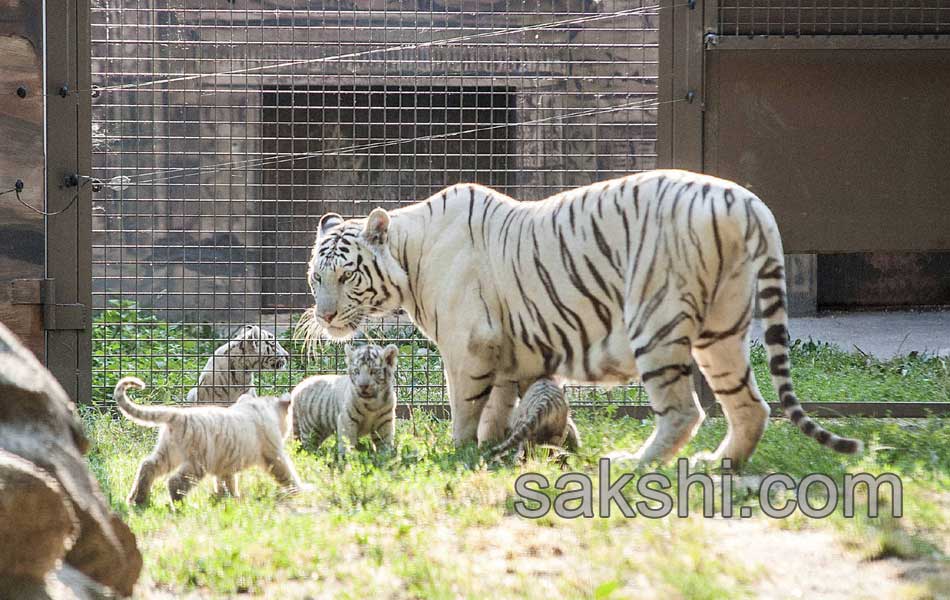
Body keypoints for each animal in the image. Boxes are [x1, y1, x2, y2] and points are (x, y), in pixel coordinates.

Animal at [304, 170, 864, 468]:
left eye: (347, 276)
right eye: (315, 276)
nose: (324, 315)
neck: (409, 253)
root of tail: (744, 199)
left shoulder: (469, 346)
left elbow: (465, 406)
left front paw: (458, 451)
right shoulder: (506, 352)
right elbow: (499, 410)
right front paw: (491, 449)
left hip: (656, 324)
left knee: (685, 412)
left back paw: (635, 465)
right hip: (721, 332)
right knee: (750, 405)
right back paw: (721, 466)